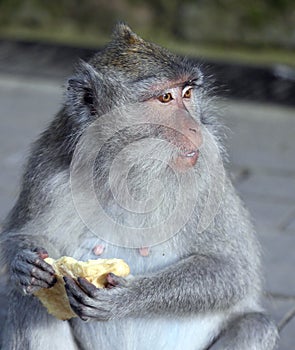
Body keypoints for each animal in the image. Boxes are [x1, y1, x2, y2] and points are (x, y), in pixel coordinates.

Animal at [0, 23, 280, 348]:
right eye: (165, 98)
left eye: (187, 93)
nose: (195, 127)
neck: (126, 170)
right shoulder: (46, 169)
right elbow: (25, 236)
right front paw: (24, 263)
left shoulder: (208, 176)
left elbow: (232, 270)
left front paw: (125, 298)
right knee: (27, 299)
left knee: (255, 325)